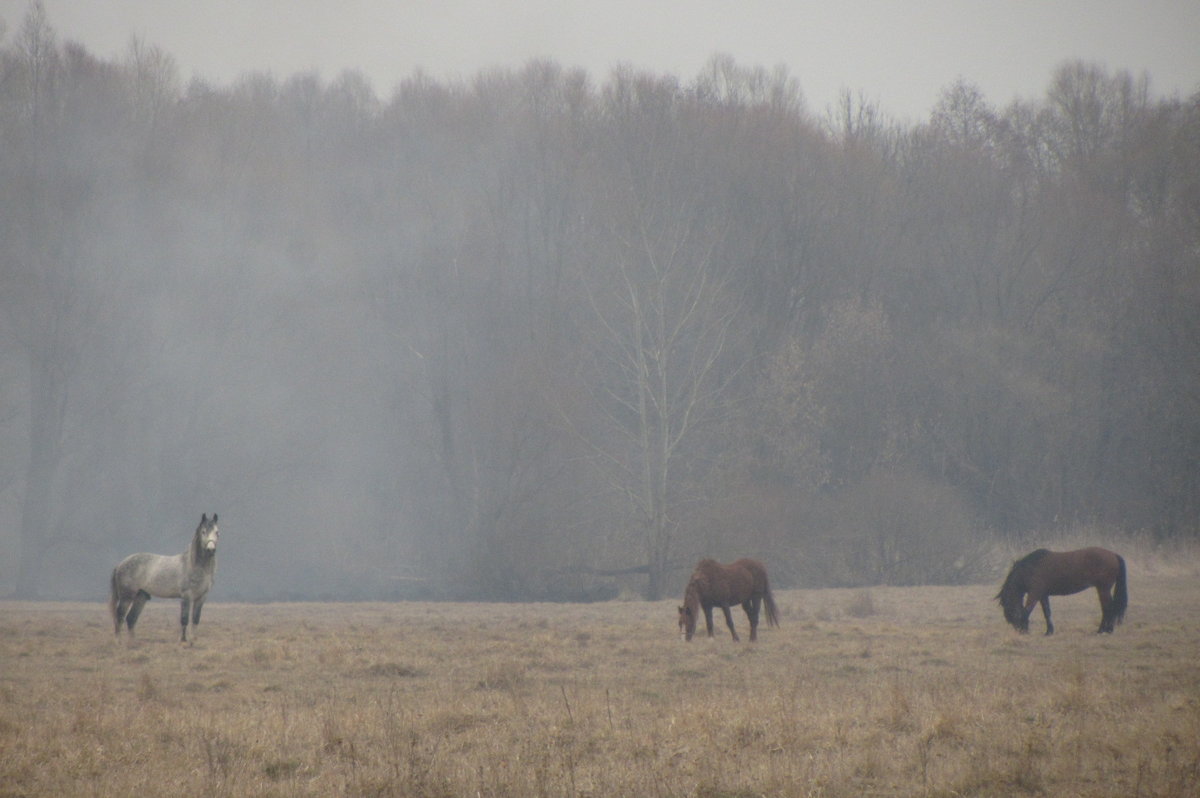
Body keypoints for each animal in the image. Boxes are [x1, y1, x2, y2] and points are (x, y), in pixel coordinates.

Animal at [111, 513, 219, 643]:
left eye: (217, 532)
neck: (194, 565)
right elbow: (184, 619)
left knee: (131, 618)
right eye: (203, 531)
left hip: (141, 596)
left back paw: (133, 643)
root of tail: (120, 564)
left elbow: (195, 619)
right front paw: (183, 640)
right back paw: (118, 642)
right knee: (120, 617)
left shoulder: (201, 597)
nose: (211, 549)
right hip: (126, 597)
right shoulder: (186, 596)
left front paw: (193, 640)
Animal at [998, 544, 1128, 633]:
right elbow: (1047, 612)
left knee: (1108, 608)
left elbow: (1027, 610)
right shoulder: (1043, 595)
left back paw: (1104, 630)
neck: (1031, 568)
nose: (1018, 629)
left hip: (1103, 589)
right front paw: (1049, 632)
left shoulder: (1035, 594)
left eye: (1006, 604)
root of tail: (1114, 555)